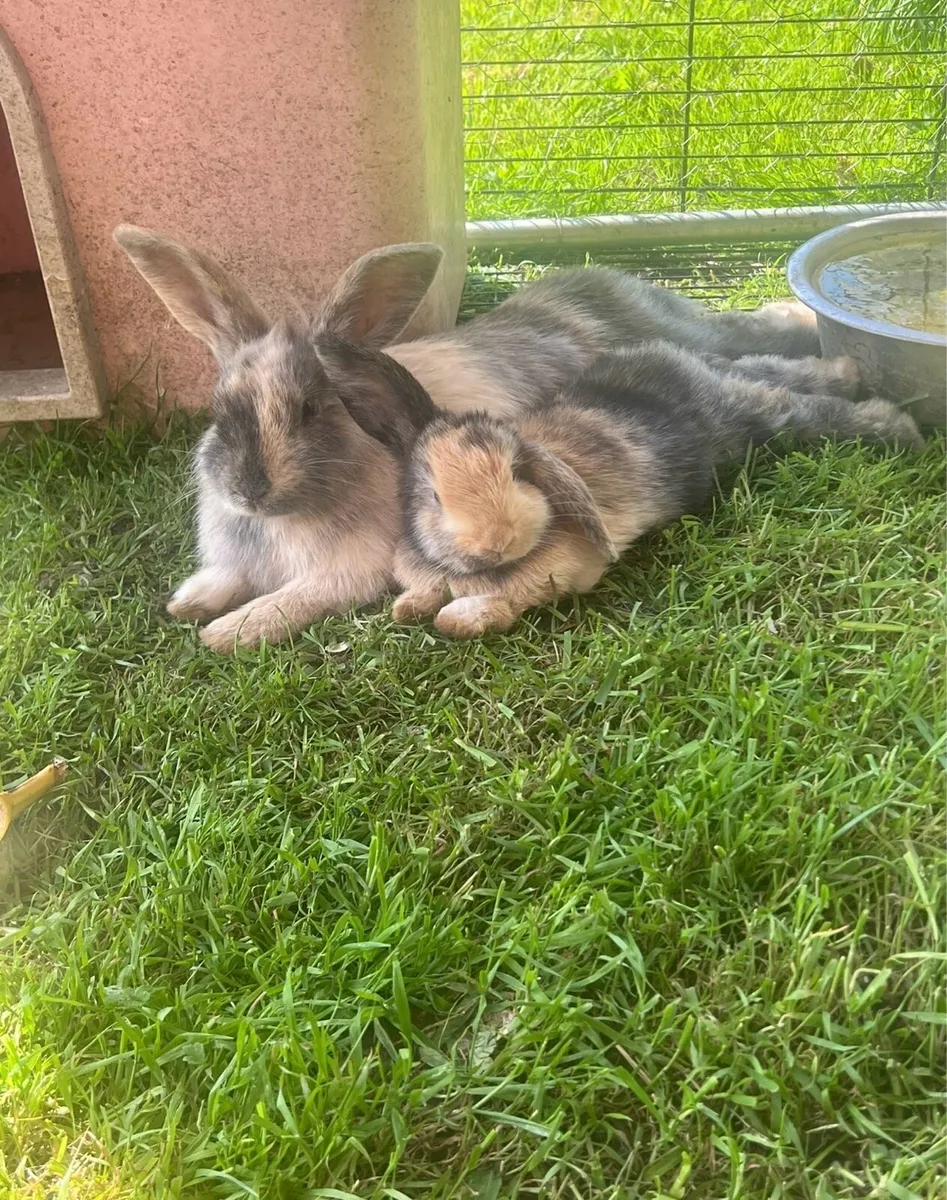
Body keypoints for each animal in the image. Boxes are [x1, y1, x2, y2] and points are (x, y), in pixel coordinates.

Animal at [114, 224, 825, 651]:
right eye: (219, 407)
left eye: (311, 409)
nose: (246, 491)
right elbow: (223, 579)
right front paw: (187, 604)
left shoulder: (350, 572)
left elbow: (290, 601)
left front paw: (227, 632)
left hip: (708, 340)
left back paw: (801, 321)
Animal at [314, 333, 923, 640]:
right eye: (434, 495)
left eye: (519, 471)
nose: (498, 542)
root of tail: (688, 367)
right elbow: (415, 600)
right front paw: (410, 608)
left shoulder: (560, 571)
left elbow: (491, 604)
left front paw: (457, 619)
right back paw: (846, 370)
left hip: (751, 420)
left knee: (802, 407)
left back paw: (898, 425)